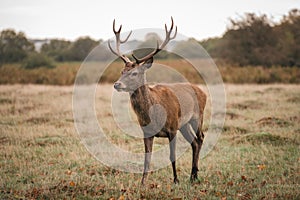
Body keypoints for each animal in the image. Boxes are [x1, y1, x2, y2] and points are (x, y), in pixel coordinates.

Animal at [107, 17, 206, 184]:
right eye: (122, 71)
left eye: (134, 73)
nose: (117, 84)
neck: (154, 115)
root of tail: (203, 92)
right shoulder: (146, 132)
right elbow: (147, 159)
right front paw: (142, 183)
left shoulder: (172, 128)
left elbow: (172, 156)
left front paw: (176, 181)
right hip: (184, 125)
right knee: (194, 142)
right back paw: (192, 176)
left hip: (197, 117)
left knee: (200, 138)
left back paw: (194, 175)